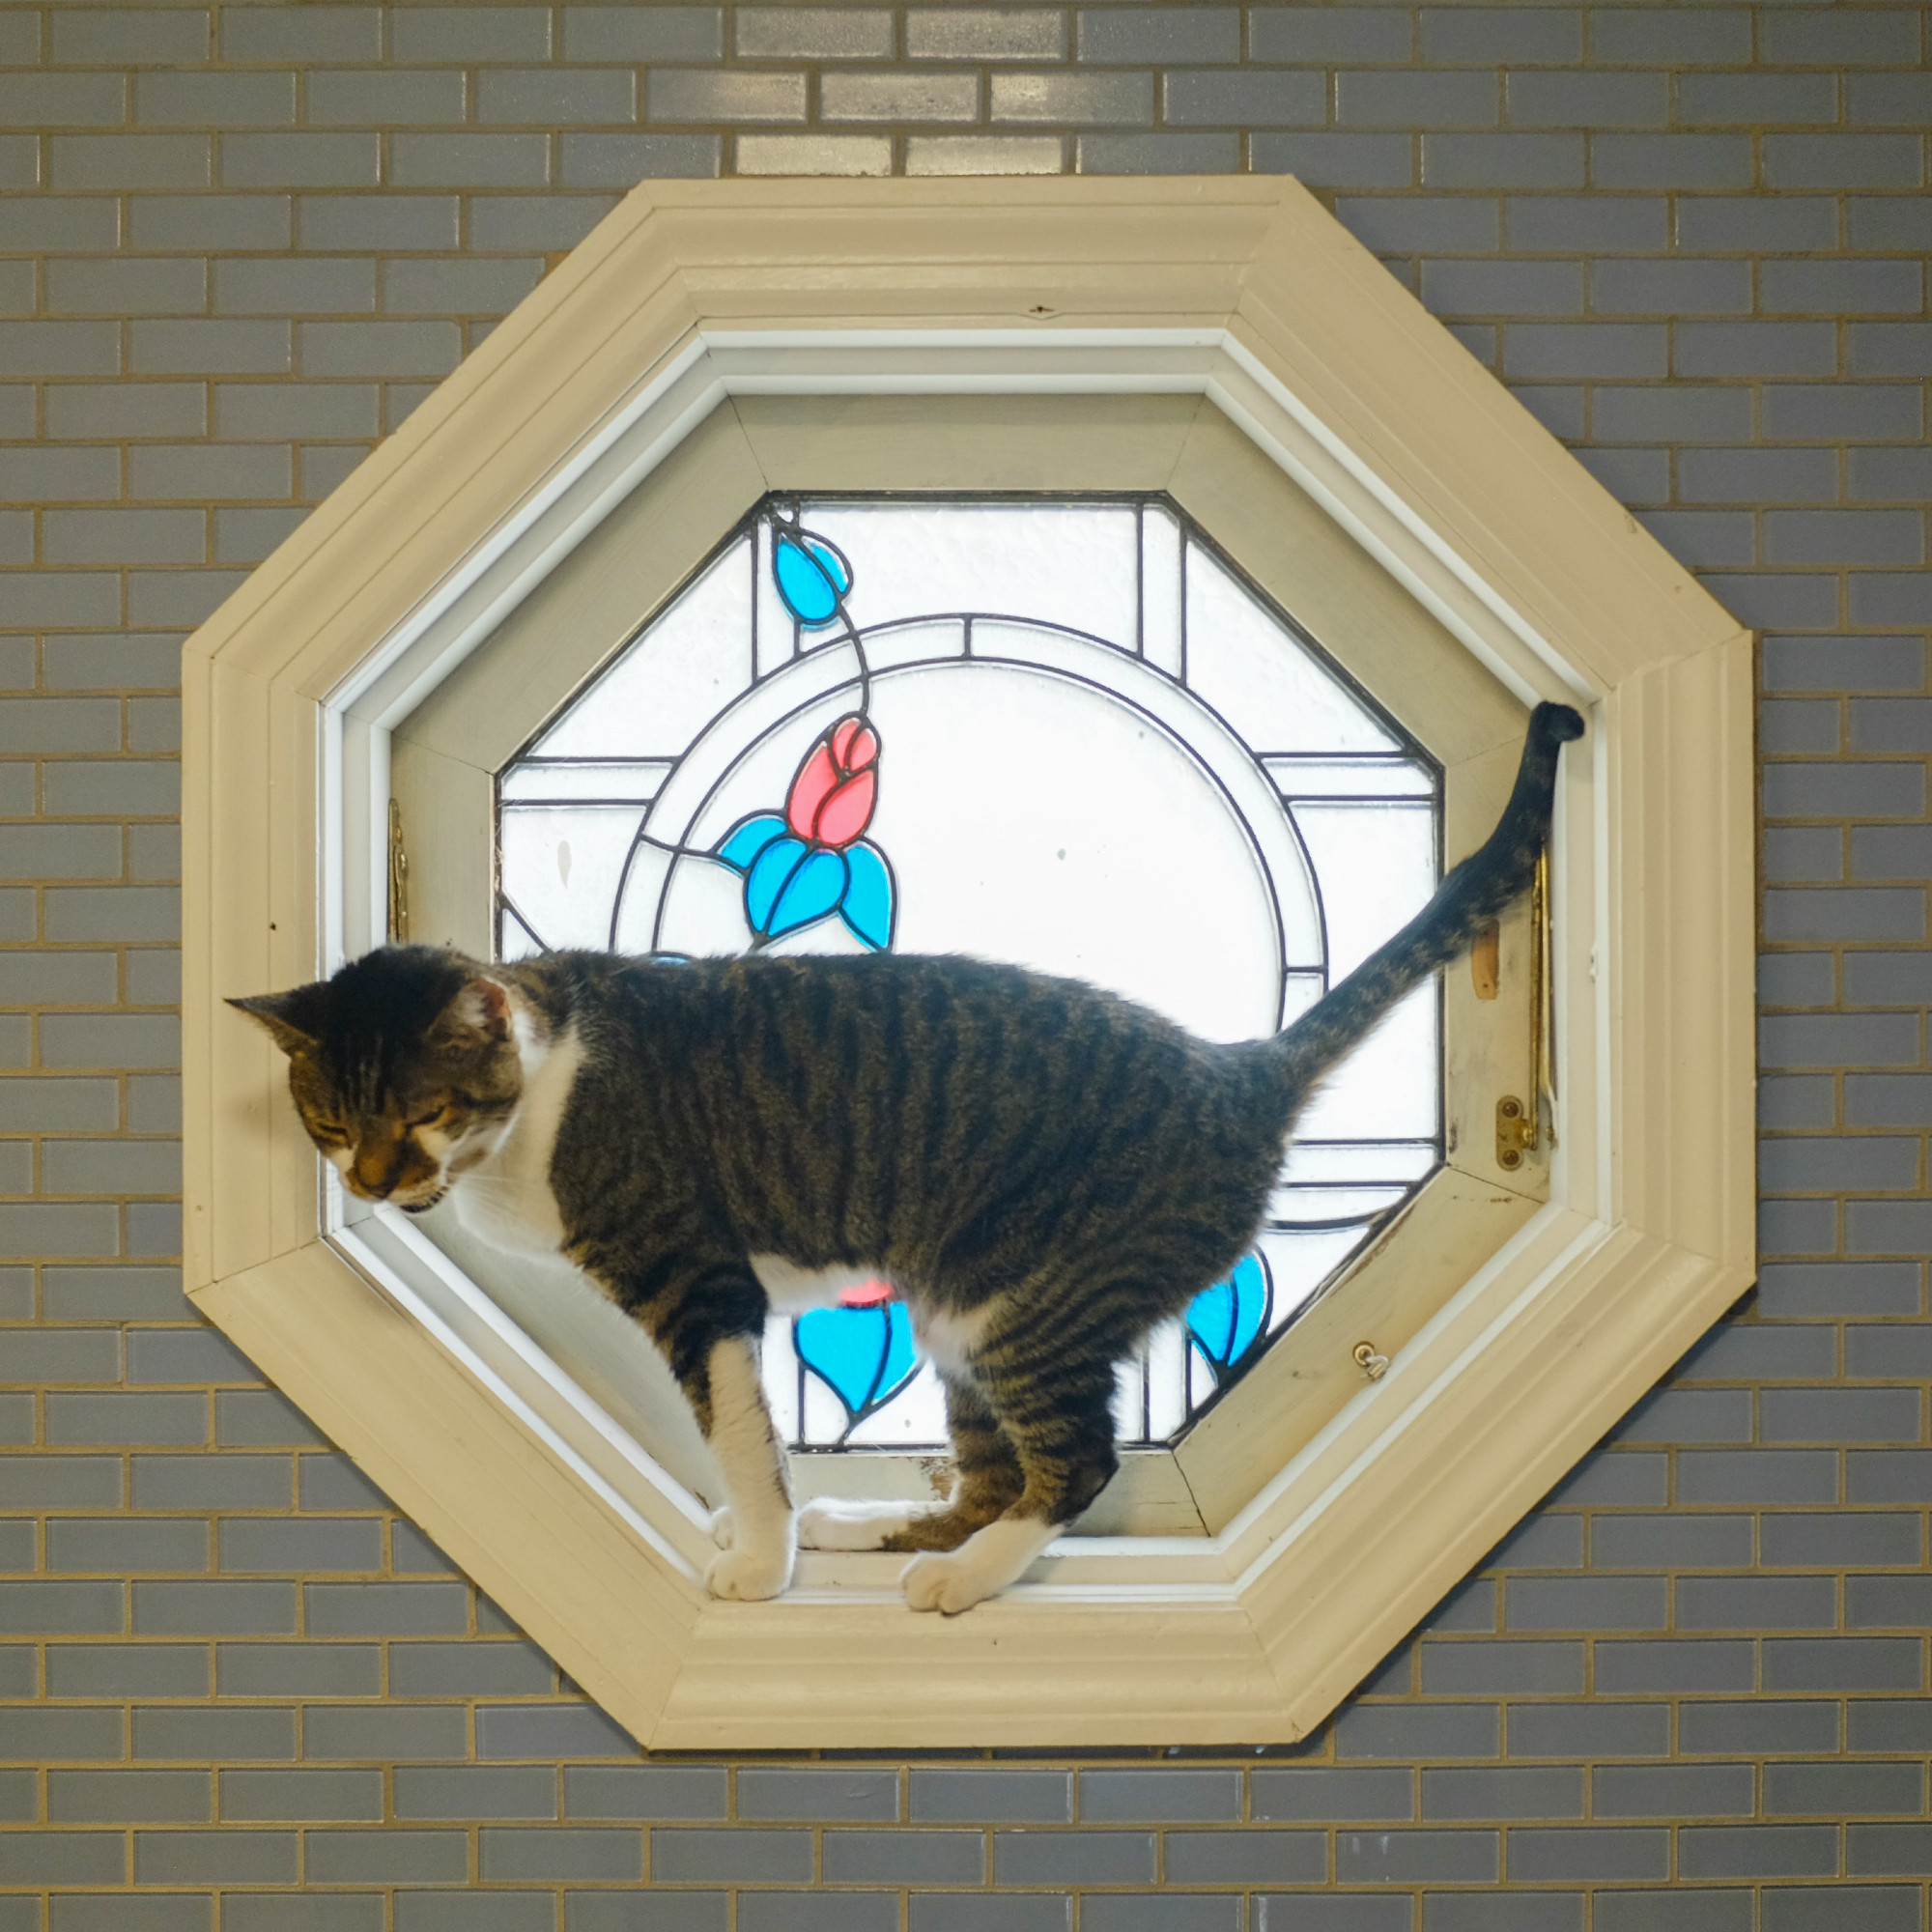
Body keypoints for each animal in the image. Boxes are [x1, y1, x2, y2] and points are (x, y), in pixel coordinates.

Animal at [234, 703, 1577, 1607]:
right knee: (988, 1471)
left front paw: (756, 1560)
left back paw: (965, 1577)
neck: (534, 1108)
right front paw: (779, 1540)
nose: (371, 1181)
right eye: (331, 1124)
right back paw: (876, 1534)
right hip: (950, 1313)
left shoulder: (697, 1284)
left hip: (1018, 1299)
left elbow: (736, 1429)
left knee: (1073, 1461)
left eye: (418, 1112)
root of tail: (1236, 1070)